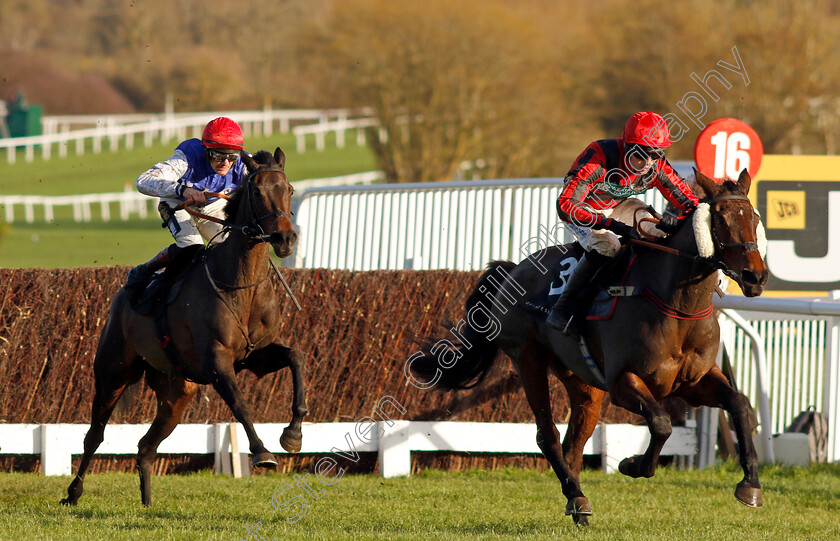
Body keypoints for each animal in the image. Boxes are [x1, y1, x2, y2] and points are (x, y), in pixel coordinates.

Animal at [61, 148, 308, 506]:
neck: (240, 285)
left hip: (176, 392)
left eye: (289, 189)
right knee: (95, 435)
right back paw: (73, 493)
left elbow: (296, 357)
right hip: (113, 372)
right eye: (257, 190)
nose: (284, 238)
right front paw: (262, 452)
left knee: (146, 447)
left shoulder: (254, 356)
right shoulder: (216, 361)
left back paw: (148, 504)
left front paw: (293, 435)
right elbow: (239, 402)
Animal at [410, 169, 772, 524]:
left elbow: (740, 405)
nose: (755, 276)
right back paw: (577, 496)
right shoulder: (623, 383)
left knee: (574, 441)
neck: (678, 306)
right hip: (527, 359)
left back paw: (577, 501)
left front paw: (750, 486)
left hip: (583, 381)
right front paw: (632, 465)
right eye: (721, 218)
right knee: (547, 435)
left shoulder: (694, 382)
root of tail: (514, 269)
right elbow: (661, 423)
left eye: (754, 217)